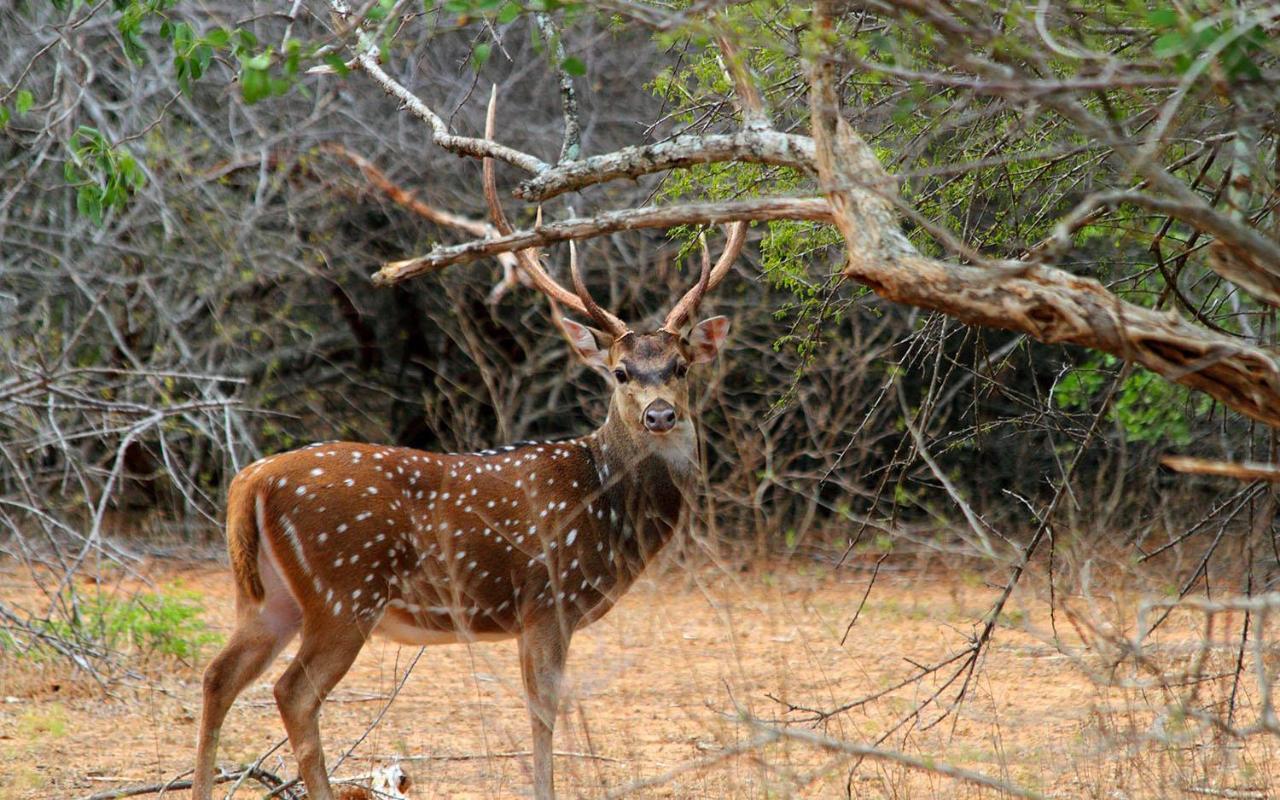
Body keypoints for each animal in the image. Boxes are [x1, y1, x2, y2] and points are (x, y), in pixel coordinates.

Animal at [192, 215, 747, 793]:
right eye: (620, 372)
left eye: (681, 366)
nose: (659, 415)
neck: (605, 505)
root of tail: (251, 480)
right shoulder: (548, 598)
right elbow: (543, 708)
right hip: (345, 591)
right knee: (292, 692)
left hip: (268, 597)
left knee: (217, 675)